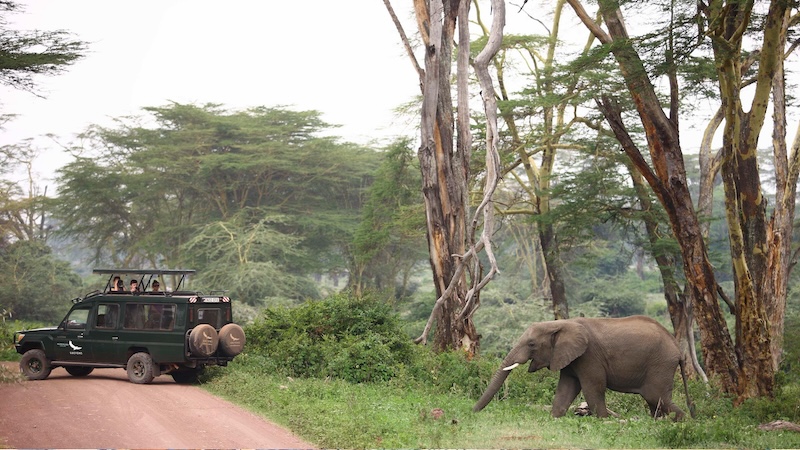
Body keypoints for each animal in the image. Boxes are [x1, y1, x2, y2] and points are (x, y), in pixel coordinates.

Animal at [476, 314, 692, 420]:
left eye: (531, 344)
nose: (473, 411)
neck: (561, 323)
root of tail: (677, 349)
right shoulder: (570, 358)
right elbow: (566, 388)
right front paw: (554, 418)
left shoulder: (589, 356)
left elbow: (592, 387)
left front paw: (603, 421)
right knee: (655, 403)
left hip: (660, 365)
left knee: (657, 397)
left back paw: (682, 422)